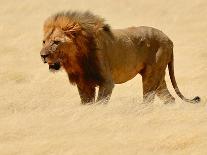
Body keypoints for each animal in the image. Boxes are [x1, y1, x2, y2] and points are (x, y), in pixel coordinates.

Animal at [39, 10, 200, 104]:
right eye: (44, 41)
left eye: (56, 42)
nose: (43, 56)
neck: (77, 59)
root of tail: (169, 39)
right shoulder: (84, 84)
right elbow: (87, 104)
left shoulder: (106, 82)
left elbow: (99, 104)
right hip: (158, 77)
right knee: (169, 98)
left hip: (151, 75)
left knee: (148, 100)